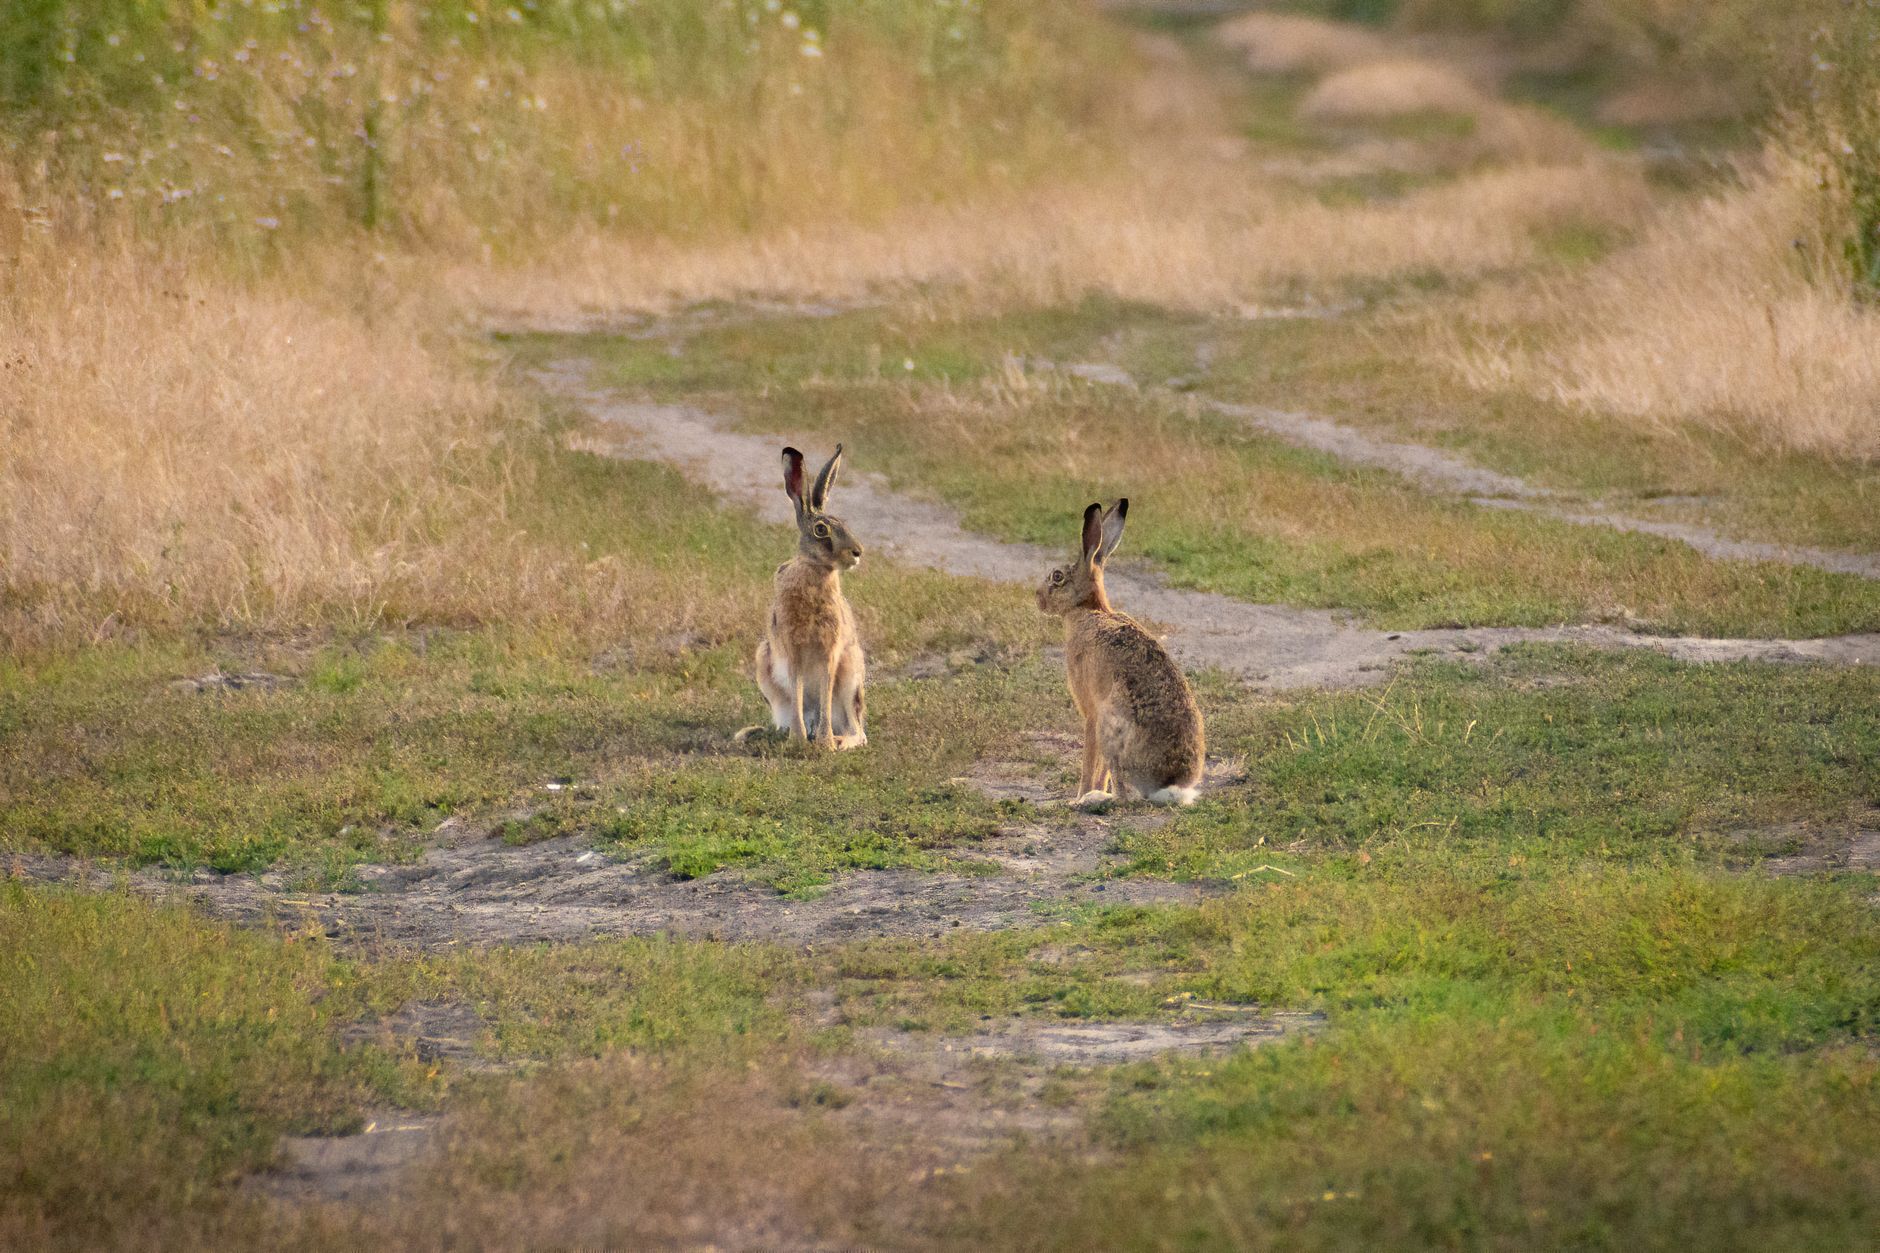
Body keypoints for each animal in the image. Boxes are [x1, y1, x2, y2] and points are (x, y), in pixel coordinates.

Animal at [754, 445, 868, 750]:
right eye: (821, 530)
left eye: (845, 524)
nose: (857, 552)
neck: (815, 570)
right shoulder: (791, 648)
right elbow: (797, 688)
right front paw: (798, 740)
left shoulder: (830, 649)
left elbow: (825, 692)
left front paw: (825, 744)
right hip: (764, 663)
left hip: (851, 673)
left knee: (858, 731)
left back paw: (838, 740)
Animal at [1037, 499, 1204, 807]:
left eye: (1057, 576)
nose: (1038, 599)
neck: (1088, 609)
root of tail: (1165, 785)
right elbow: (1100, 770)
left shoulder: (1091, 712)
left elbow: (1089, 762)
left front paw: (1077, 797)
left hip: (1111, 726)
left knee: (1124, 796)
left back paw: (1091, 799)